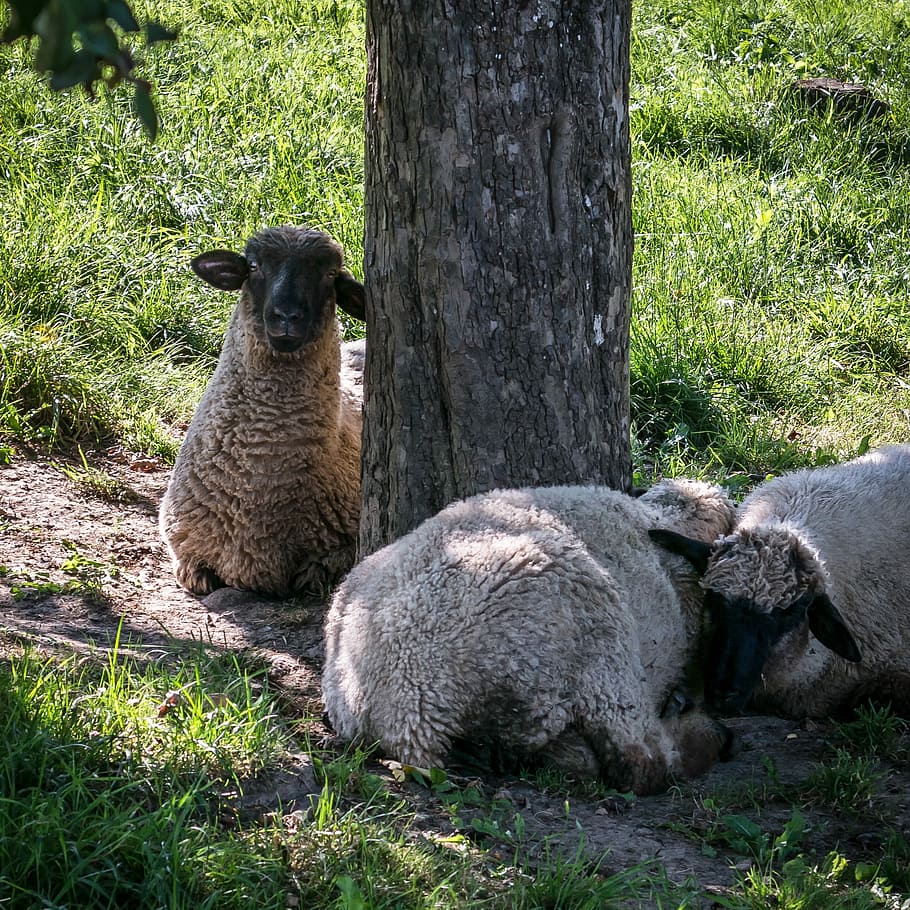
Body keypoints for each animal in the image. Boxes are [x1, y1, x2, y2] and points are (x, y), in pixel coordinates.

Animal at [159, 225, 366, 597]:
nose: (287, 317)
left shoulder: (347, 541)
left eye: (330, 274)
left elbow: (318, 572)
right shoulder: (184, 545)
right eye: (253, 266)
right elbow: (194, 573)